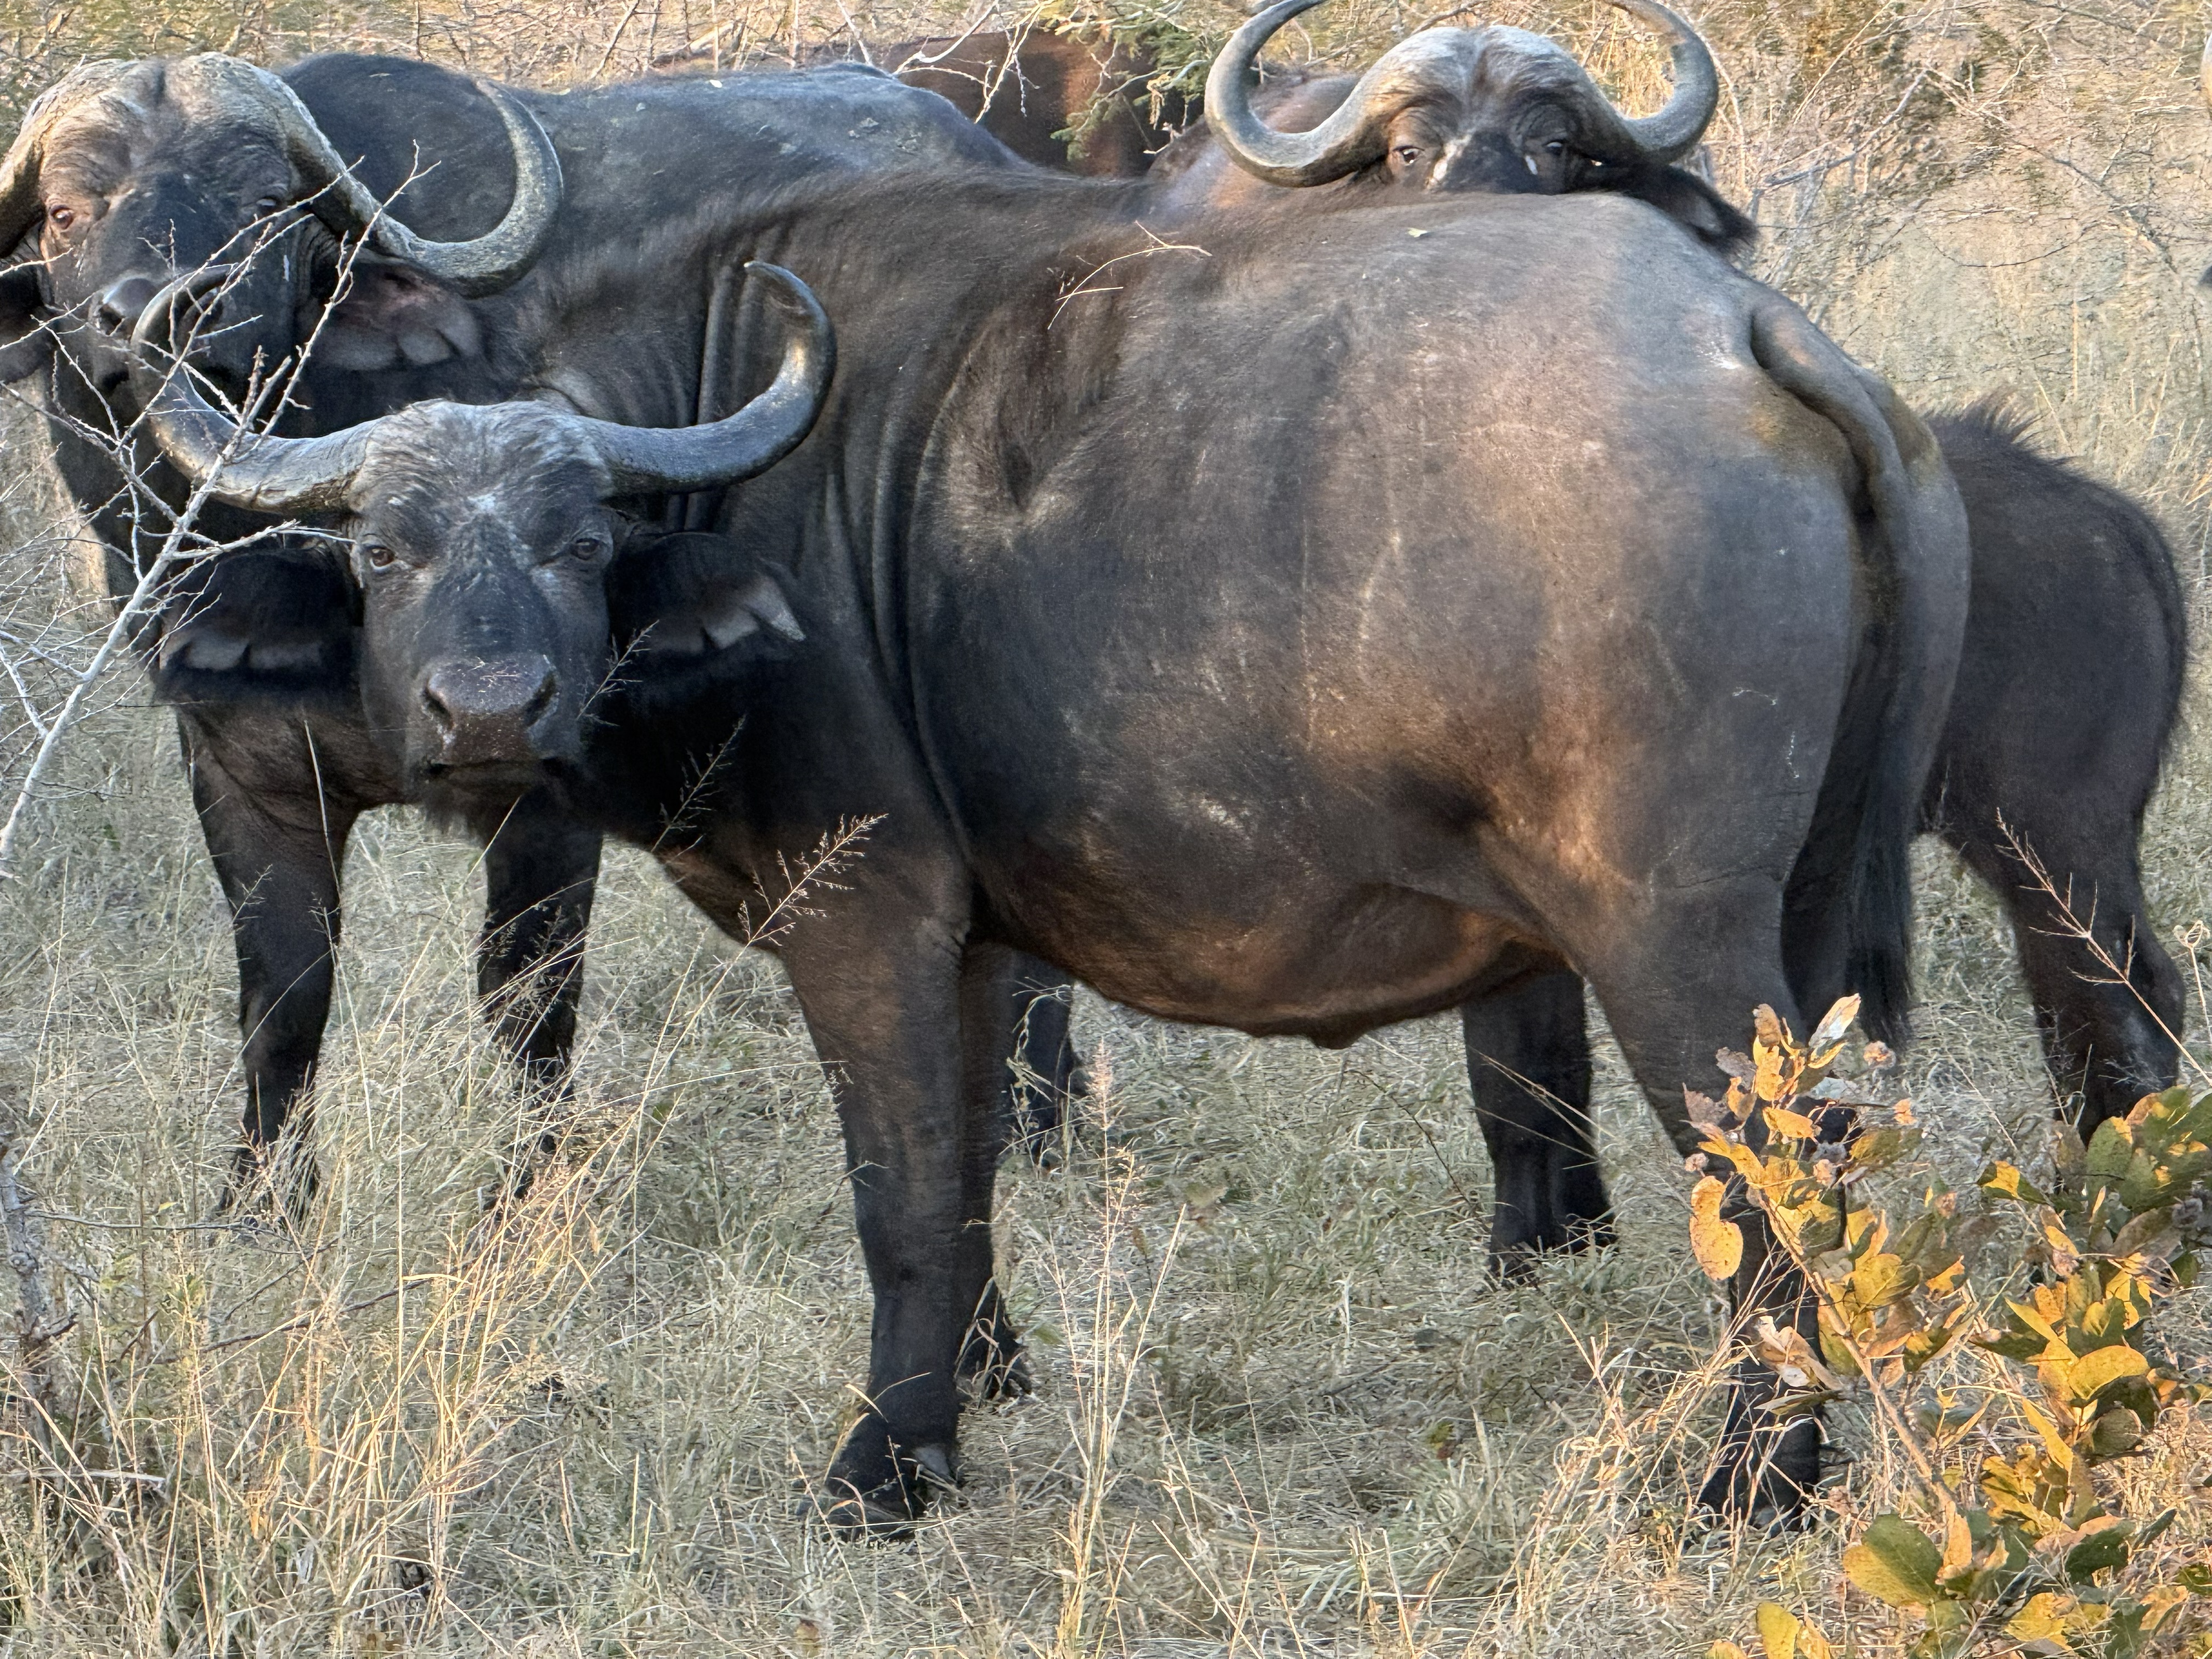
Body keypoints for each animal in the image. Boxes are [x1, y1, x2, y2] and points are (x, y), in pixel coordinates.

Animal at [134, 154, 1968, 1526]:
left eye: (584, 536)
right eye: (382, 549)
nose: (490, 708)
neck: (756, 472)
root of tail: (1746, 333)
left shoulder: (865, 916)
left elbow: (896, 1190)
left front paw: (878, 1469)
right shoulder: (971, 945)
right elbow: (965, 1181)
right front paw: (961, 1403)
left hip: (1672, 937)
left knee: (1780, 1182)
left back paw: (1752, 1484)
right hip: (1819, 912)